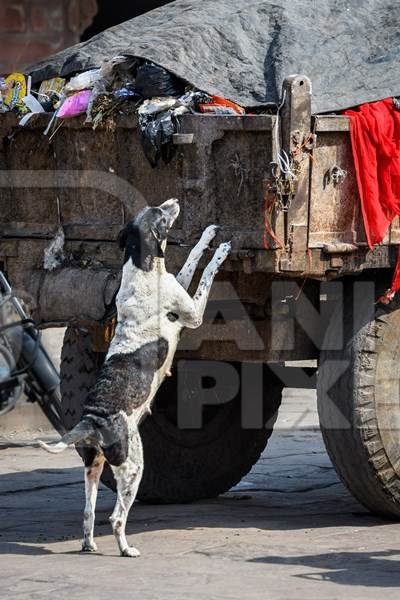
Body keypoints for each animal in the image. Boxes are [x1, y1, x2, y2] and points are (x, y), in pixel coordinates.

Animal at [39, 199, 231, 556]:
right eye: (161, 214)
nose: (174, 201)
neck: (140, 267)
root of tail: (93, 421)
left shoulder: (176, 279)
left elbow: (192, 257)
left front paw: (208, 235)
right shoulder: (193, 312)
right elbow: (205, 272)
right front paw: (221, 251)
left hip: (93, 468)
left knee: (87, 514)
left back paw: (89, 545)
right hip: (133, 468)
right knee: (116, 517)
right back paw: (126, 549)